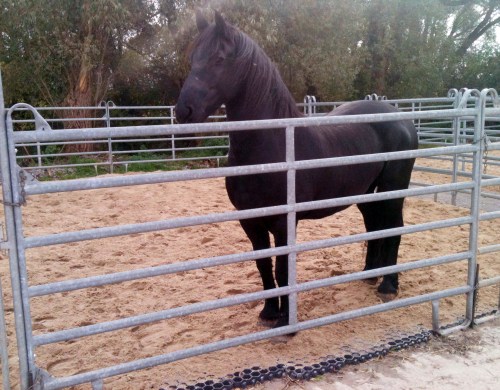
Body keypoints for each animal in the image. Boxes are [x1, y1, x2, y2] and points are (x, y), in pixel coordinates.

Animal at [176, 11, 418, 330]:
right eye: (193, 59)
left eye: (219, 58)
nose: (183, 111)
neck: (272, 146)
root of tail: (401, 118)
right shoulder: (251, 222)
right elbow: (264, 266)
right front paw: (268, 312)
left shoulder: (283, 223)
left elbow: (283, 269)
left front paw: (285, 321)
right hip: (366, 194)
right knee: (375, 226)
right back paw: (368, 276)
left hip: (393, 190)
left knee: (394, 227)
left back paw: (388, 285)